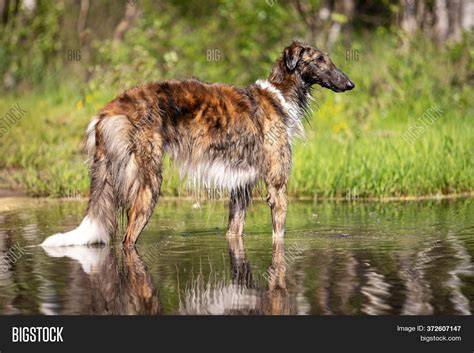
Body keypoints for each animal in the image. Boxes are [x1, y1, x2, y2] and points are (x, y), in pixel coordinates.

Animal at [42, 40, 354, 246]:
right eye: (320, 60)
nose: (350, 84)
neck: (278, 96)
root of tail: (108, 110)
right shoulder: (277, 187)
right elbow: (279, 234)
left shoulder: (240, 188)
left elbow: (234, 231)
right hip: (148, 183)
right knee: (128, 240)